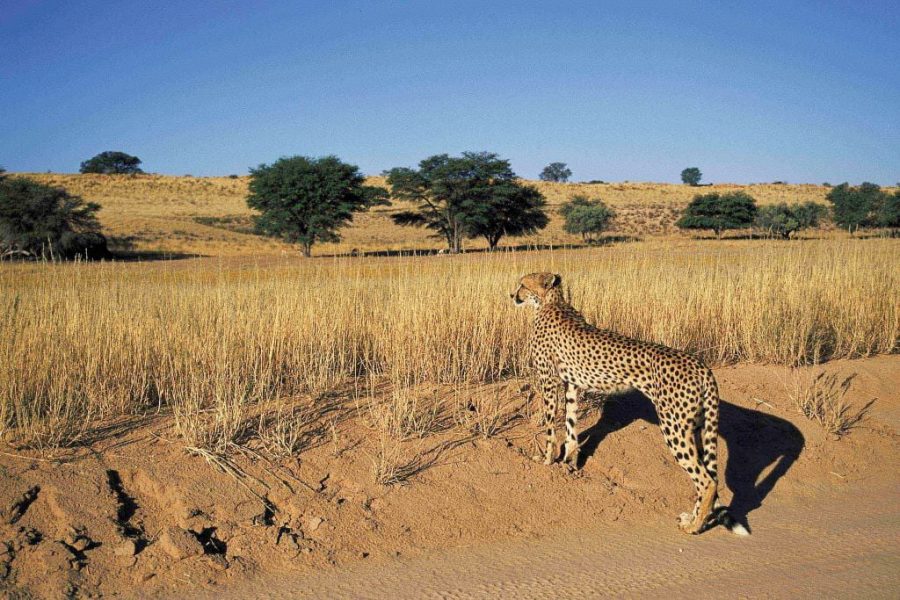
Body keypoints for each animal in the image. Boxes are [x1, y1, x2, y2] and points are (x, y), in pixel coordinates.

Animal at [511, 272, 748, 535]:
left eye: (522, 285)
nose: (512, 295)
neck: (550, 302)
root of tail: (701, 366)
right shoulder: (571, 383)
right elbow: (571, 425)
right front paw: (568, 462)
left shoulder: (549, 380)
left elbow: (552, 426)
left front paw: (546, 460)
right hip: (696, 427)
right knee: (710, 475)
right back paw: (695, 518)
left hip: (674, 427)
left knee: (706, 480)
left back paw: (693, 527)